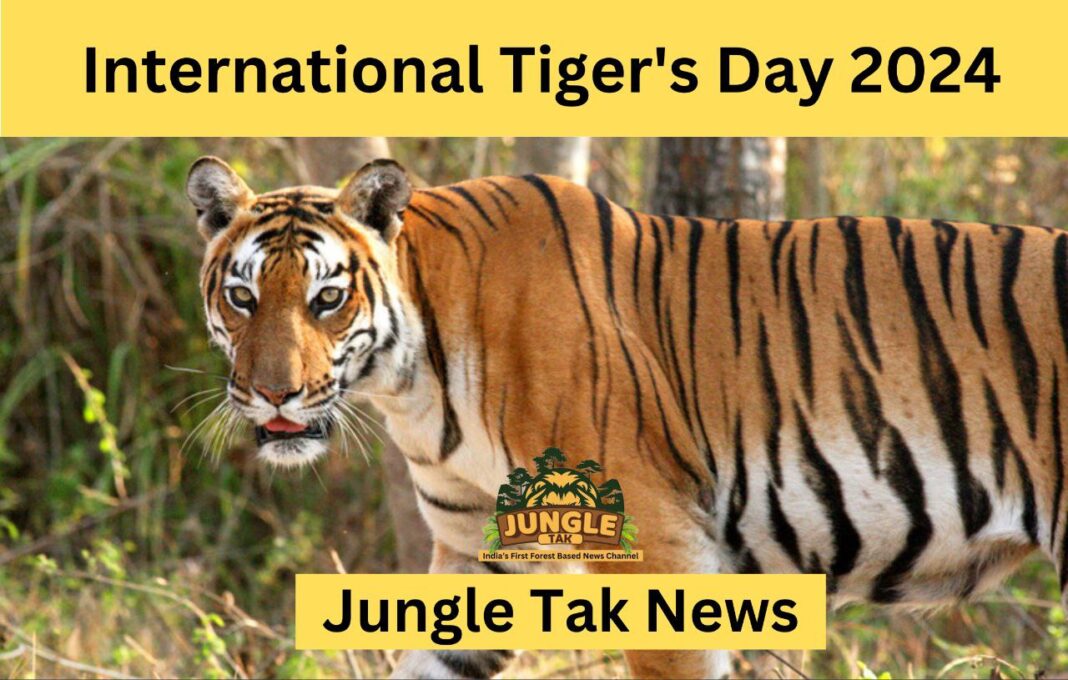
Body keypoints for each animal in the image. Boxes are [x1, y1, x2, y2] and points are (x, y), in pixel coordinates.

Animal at [187, 155, 1067, 679]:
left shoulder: (658, 545)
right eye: (244, 297)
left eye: (327, 299)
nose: (273, 394)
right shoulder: (479, 551)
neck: (415, 383)